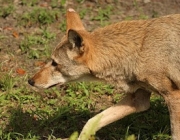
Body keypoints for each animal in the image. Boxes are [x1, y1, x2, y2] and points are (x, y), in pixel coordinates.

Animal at [28, 8, 180, 140]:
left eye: (55, 63)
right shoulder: (139, 99)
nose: (30, 81)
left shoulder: (173, 96)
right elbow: (91, 121)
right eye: (51, 61)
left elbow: (175, 135)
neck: (139, 49)